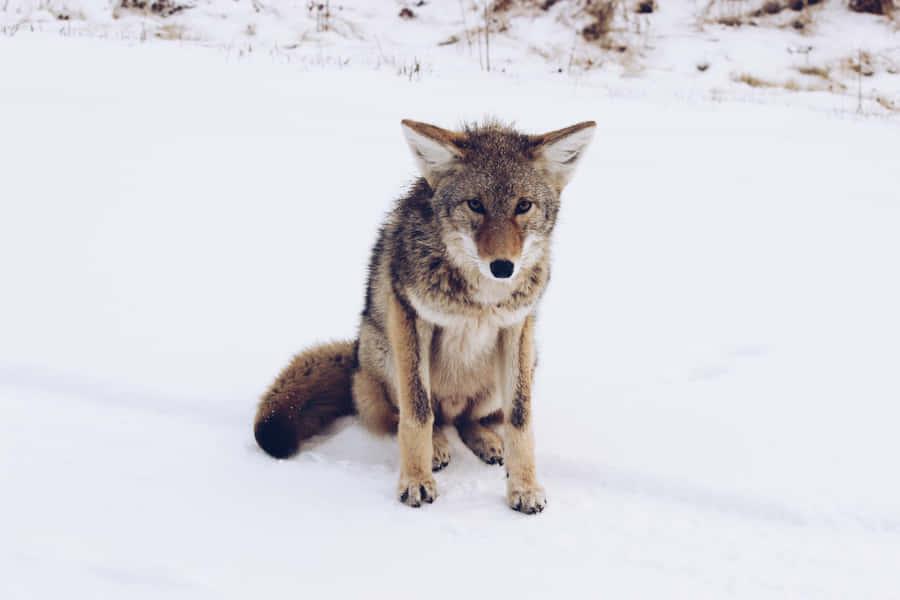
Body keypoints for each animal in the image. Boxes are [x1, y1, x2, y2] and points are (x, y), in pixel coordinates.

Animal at [253, 119, 595, 513]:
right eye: (475, 204)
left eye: (523, 205)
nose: (503, 267)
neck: (480, 300)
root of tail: (353, 356)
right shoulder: (412, 318)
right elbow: (417, 415)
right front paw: (416, 481)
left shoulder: (515, 327)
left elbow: (520, 420)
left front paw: (524, 487)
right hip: (387, 356)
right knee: (417, 418)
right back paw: (438, 448)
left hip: (523, 362)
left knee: (467, 420)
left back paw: (489, 443)